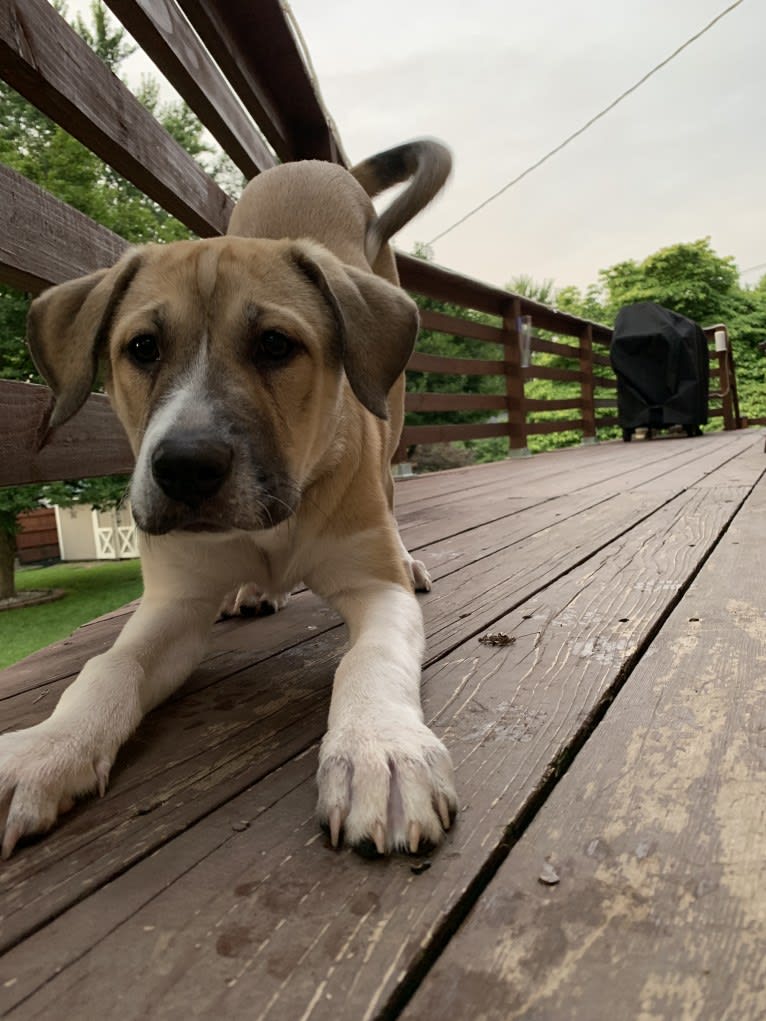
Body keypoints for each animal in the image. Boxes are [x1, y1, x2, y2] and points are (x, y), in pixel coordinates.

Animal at [0, 141, 455, 861]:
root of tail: (317, 166)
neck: (274, 518)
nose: (185, 469)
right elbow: (108, 665)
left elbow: (369, 659)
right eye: (142, 348)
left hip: (394, 407)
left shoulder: (374, 590)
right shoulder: (175, 604)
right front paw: (46, 747)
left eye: (275, 345)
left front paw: (379, 748)